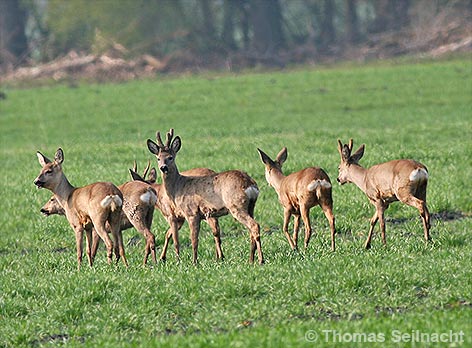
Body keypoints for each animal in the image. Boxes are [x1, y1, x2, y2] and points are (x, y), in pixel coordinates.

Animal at [146, 128, 264, 264]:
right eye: (158, 158)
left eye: (170, 157)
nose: (163, 167)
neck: (177, 187)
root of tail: (250, 184)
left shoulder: (191, 212)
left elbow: (194, 239)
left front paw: (194, 262)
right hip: (251, 206)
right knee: (251, 229)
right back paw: (251, 259)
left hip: (236, 205)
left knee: (254, 225)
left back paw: (261, 260)